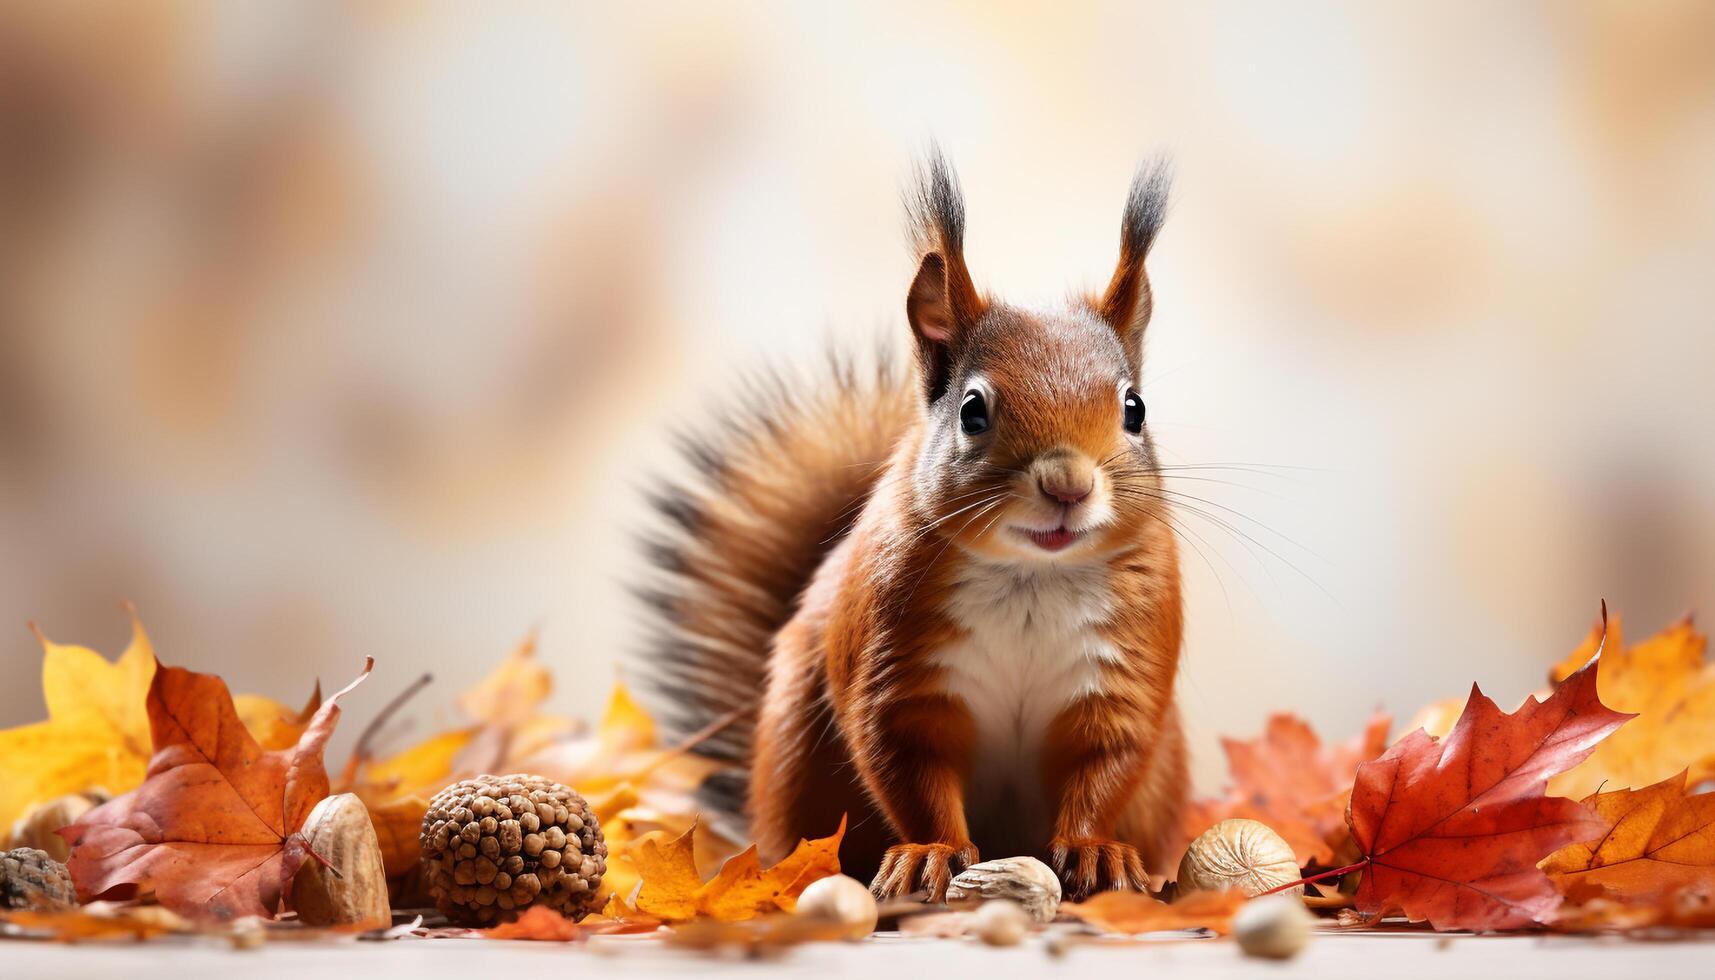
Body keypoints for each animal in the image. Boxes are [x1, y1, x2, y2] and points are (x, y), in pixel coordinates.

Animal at [637, 151, 1186, 899]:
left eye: (1135, 408)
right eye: (972, 410)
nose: (1068, 486)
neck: (1031, 578)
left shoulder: (1123, 672)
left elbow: (1107, 765)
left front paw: (1094, 848)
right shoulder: (896, 672)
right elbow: (910, 770)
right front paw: (930, 853)